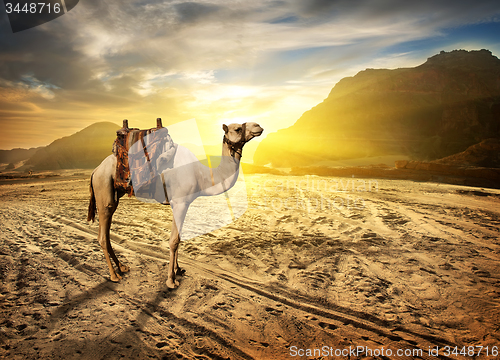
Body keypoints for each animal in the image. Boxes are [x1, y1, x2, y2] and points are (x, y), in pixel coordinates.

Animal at [87, 122, 264, 288]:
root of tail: (95, 171)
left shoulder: (182, 204)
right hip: (103, 186)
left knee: (107, 233)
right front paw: (171, 280)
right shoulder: (180, 203)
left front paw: (178, 270)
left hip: (113, 195)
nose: (258, 126)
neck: (202, 175)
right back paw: (114, 275)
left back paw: (122, 267)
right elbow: (174, 241)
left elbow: (178, 237)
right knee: (102, 236)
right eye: (237, 129)